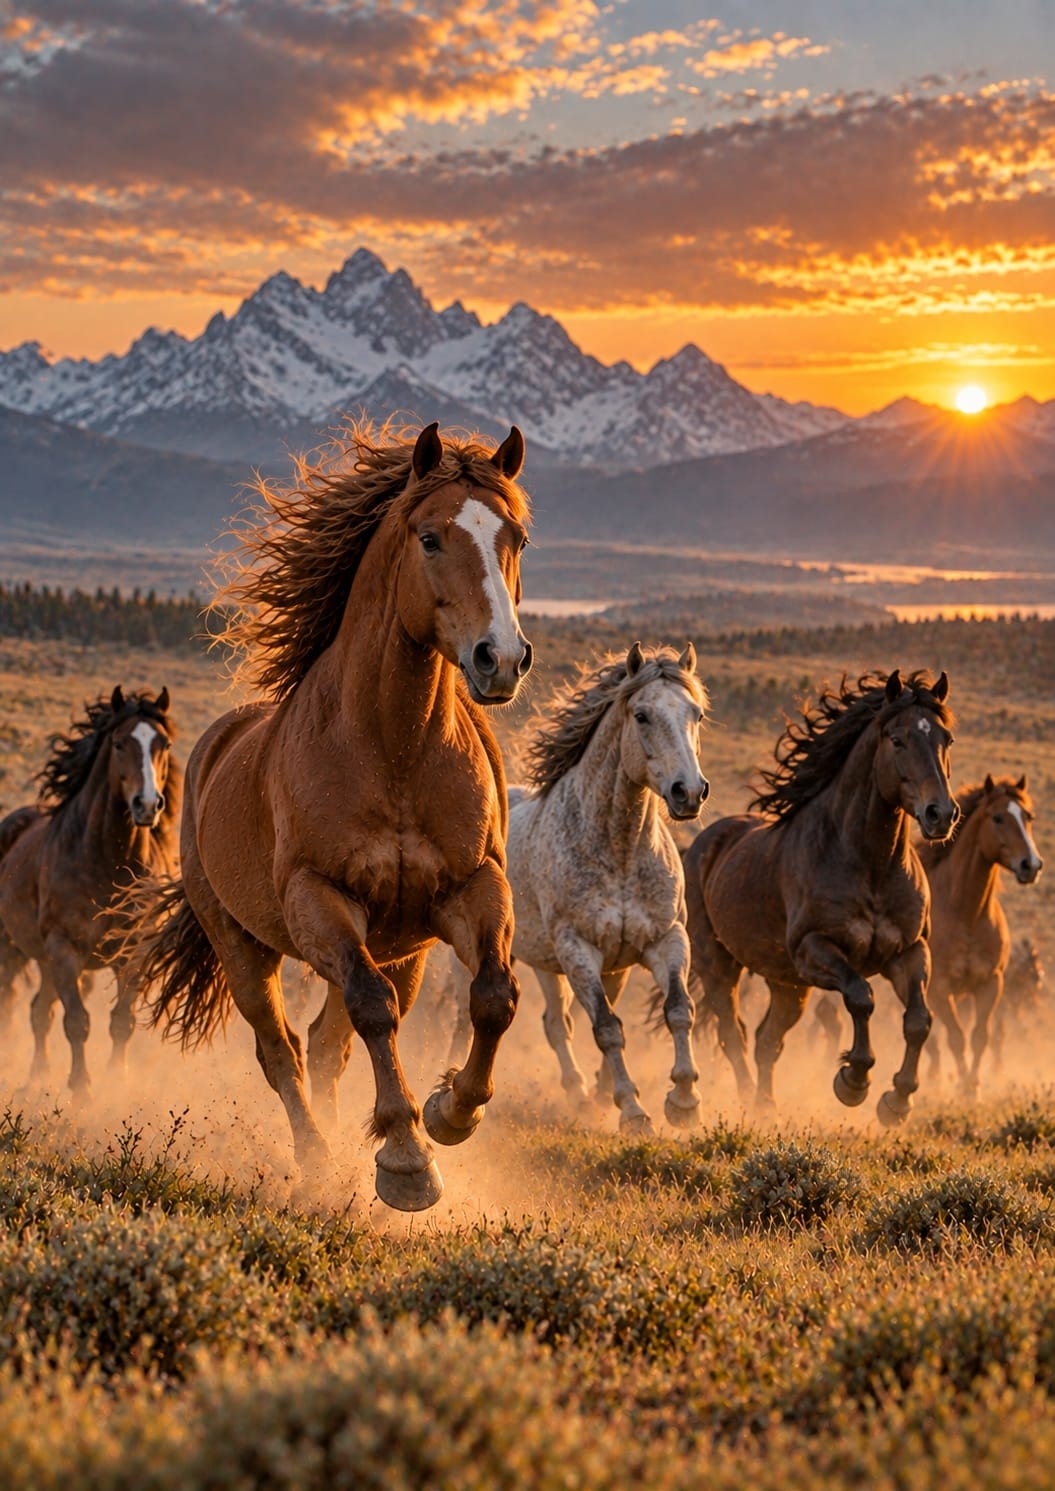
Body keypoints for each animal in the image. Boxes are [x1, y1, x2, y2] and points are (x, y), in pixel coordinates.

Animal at [0, 687, 178, 1091]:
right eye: (118, 743)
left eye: (164, 744)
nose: (147, 804)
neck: (106, 864)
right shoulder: (65, 948)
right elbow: (77, 1021)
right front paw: (81, 1089)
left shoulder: (133, 952)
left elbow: (121, 1021)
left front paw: (116, 1082)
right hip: (13, 949)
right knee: (13, 1003)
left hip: (45, 961)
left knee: (39, 1011)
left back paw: (37, 1077)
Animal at [131, 420, 532, 1213]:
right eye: (430, 537)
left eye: (518, 539)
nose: (499, 659)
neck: (393, 749)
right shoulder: (319, 898)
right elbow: (372, 1010)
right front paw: (407, 1160)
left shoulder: (471, 888)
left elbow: (493, 997)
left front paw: (449, 1112)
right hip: (244, 946)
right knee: (282, 1049)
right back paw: (316, 1160)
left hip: (399, 946)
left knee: (326, 1041)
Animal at [506, 642, 709, 1132]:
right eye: (642, 715)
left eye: (696, 714)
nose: (689, 793)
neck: (619, 850)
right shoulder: (578, 949)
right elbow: (606, 1027)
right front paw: (633, 1111)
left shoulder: (665, 939)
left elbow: (679, 1011)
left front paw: (684, 1101)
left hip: (555, 964)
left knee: (555, 1022)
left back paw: (585, 1093)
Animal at [684, 669, 957, 1125]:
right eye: (896, 739)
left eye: (946, 739)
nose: (941, 814)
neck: (869, 864)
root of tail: (702, 844)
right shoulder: (815, 950)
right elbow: (861, 998)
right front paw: (853, 1081)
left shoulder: (910, 952)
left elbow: (919, 1020)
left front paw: (897, 1100)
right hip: (719, 967)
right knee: (733, 1035)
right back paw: (746, 1103)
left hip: (786, 985)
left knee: (767, 1040)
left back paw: (766, 1107)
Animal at [921, 775, 1043, 1095]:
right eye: (997, 818)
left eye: (1028, 817)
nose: (1031, 865)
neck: (966, 914)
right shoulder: (939, 989)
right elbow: (955, 1037)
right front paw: (963, 1086)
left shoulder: (990, 984)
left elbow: (980, 1036)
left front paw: (972, 1087)